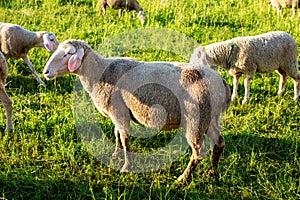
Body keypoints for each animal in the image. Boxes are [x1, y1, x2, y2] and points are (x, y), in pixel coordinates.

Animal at [41, 39, 230, 183]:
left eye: (67, 54)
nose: (46, 72)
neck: (99, 73)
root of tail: (222, 83)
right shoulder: (117, 112)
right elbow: (117, 133)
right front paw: (115, 154)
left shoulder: (118, 112)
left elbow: (125, 138)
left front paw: (126, 167)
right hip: (210, 118)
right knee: (219, 142)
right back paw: (212, 171)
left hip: (196, 120)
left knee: (198, 153)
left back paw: (183, 179)